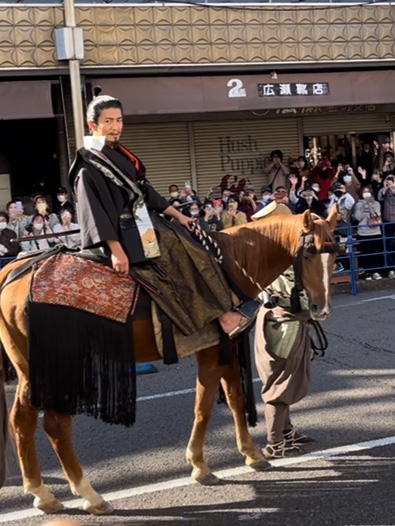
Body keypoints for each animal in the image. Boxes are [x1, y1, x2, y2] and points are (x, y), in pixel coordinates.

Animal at [0, 209, 338, 516]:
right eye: (309, 253)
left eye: (334, 255)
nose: (321, 309)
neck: (229, 267)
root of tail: (12, 273)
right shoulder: (210, 352)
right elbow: (203, 406)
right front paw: (200, 466)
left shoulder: (227, 348)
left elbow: (235, 399)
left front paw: (252, 454)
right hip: (59, 367)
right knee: (56, 426)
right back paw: (90, 495)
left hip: (30, 371)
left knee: (22, 422)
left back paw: (41, 493)